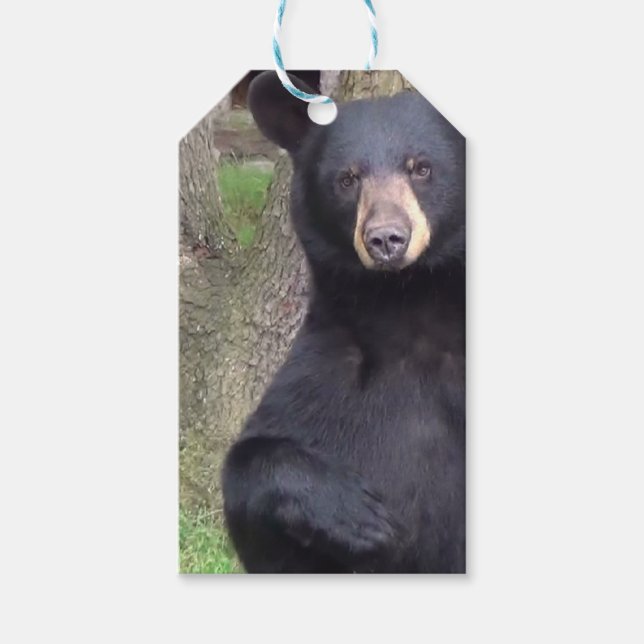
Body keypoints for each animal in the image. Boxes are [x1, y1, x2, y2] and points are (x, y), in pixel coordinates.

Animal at [222, 71, 465, 573]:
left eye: (422, 168)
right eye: (347, 179)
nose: (387, 239)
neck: (409, 303)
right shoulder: (325, 371)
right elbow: (248, 479)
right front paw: (359, 516)